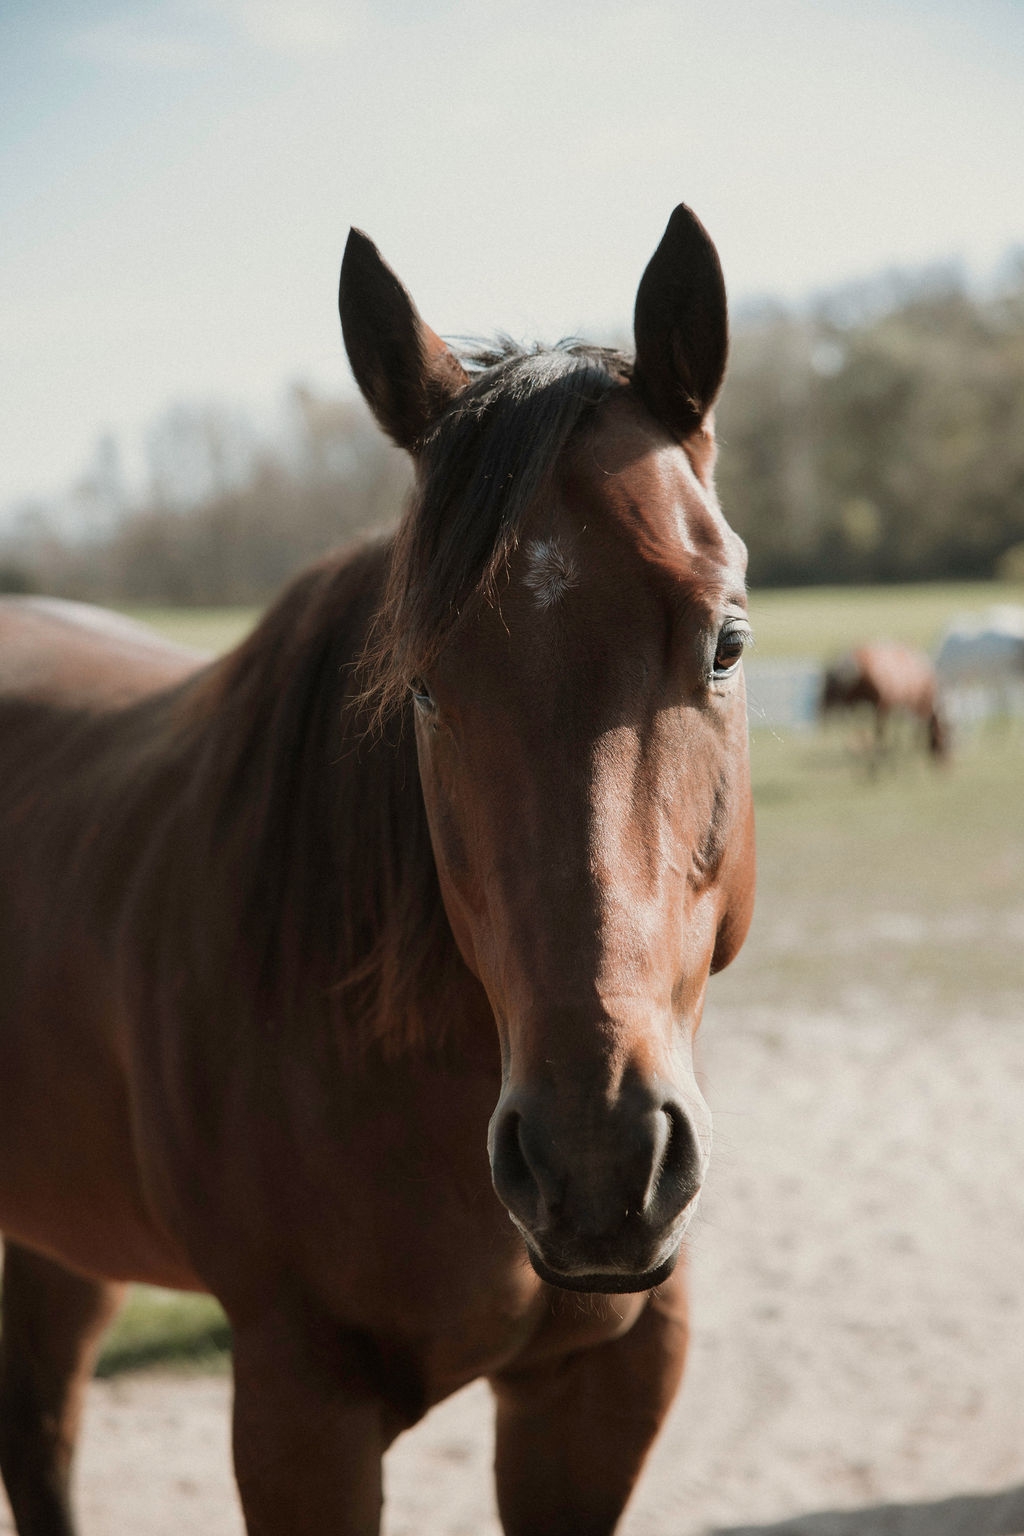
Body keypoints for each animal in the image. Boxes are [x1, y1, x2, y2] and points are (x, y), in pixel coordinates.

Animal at [820, 642, 950, 764]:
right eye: (945, 734)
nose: (944, 761)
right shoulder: (905, 705)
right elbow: (912, 729)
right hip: (877, 705)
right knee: (875, 729)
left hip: (853, 703)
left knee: (853, 725)